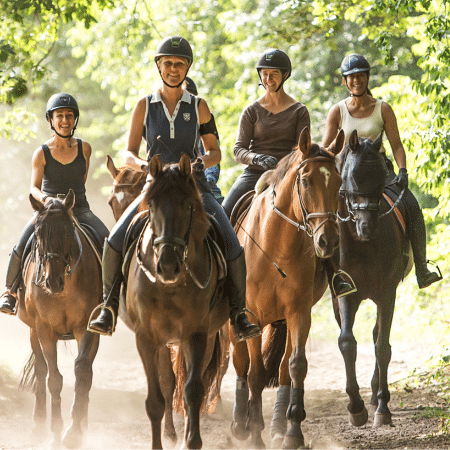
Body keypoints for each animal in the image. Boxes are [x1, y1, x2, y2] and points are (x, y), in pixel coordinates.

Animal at [16, 191, 102, 450]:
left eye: (68, 232)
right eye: (38, 233)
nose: (52, 282)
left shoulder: (85, 328)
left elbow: (82, 373)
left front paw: (74, 432)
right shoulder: (45, 330)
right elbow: (53, 378)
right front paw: (55, 431)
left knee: (87, 372)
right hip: (33, 331)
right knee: (40, 370)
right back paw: (38, 427)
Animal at [121, 153, 229, 448]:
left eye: (187, 204)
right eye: (152, 204)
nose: (168, 266)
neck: (170, 286)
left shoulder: (196, 335)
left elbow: (193, 391)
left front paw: (191, 441)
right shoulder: (146, 338)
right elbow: (155, 399)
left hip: (205, 337)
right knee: (168, 383)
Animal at [230, 127, 346, 450]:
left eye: (339, 182)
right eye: (305, 181)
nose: (328, 241)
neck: (275, 248)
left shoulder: (298, 313)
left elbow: (296, 367)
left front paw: (292, 432)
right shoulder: (252, 317)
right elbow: (255, 373)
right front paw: (254, 435)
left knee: (281, 369)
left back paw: (278, 426)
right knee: (239, 362)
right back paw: (239, 424)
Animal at [332, 131, 414, 428]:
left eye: (381, 177)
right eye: (351, 177)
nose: (367, 226)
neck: (363, 244)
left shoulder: (387, 293)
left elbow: (382, 347)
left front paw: (382, 409)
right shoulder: (346, 294)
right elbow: (346, 342)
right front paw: (355, 408)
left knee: (379, 335)